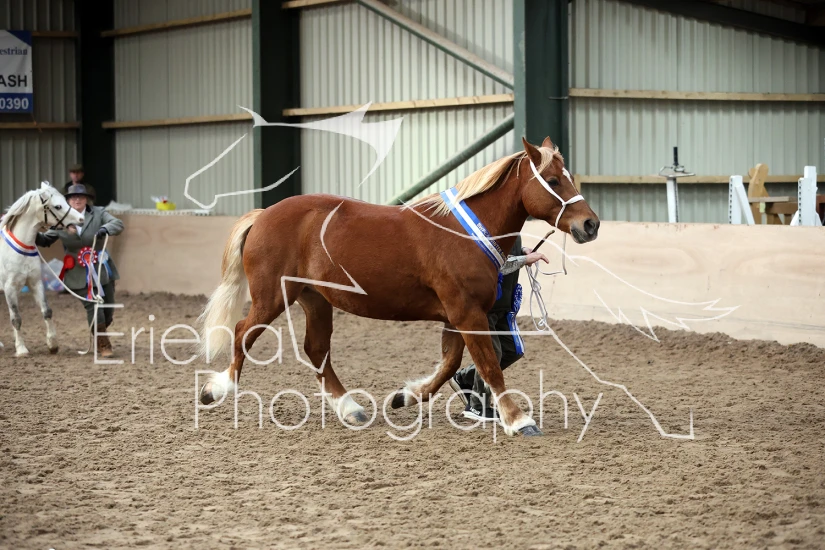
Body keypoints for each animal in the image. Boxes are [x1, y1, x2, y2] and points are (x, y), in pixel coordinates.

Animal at [0, 182, 85, 356]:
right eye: (58, 206)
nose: (81, 219)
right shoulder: (9, 288)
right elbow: (16, 318)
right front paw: (21, 349)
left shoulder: (35, 283)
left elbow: (47, 311)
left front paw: (53, 344)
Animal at [197, 137, 600, 436]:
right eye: (553, 181)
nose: (590, 224)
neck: (465, 234)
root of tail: (264, 214)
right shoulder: (466, 312)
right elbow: (487, 365)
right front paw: (519, 420)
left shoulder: (456, 315)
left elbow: (451, 364)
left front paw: (405, 396)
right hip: (272, 297)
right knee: (242, 333)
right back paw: (216, 389)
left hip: (315, 300)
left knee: (316, 350)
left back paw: (351, 410)